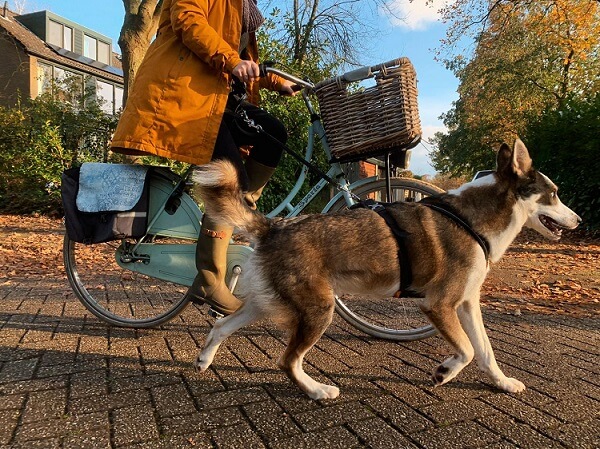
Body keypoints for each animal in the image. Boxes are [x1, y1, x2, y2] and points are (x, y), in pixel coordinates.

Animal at [191, 138, 580, 398]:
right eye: (554, 194)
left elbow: (485, 351)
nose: (579, 219)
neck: (470, 220)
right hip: (318, 310)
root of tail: (274, 226)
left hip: (268, 303)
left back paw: (204, 361)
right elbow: (468, 351)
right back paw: (317, 390)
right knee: (287, 361)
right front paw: (445, 372)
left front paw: (503, 383)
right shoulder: (439, 305)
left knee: (222, 325)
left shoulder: (468, 304)